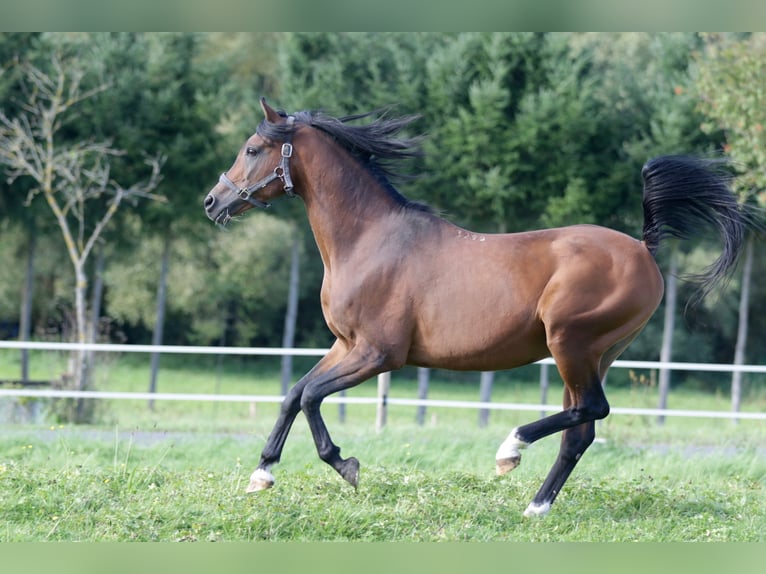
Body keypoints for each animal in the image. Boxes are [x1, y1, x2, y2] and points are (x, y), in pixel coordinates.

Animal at [204, 98, 752, 516]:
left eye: (252, 149)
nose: (212, 202)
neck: (369, 240)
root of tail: (642, 247)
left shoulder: (379, 354)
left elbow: (312, 396)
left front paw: (346, 466)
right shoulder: (346, 345)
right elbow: (294, 393)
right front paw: (261, 474)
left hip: (570, 343)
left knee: (590, 410)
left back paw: (511, 450)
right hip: (595, 355)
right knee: (581, 429)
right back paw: (536, 507)